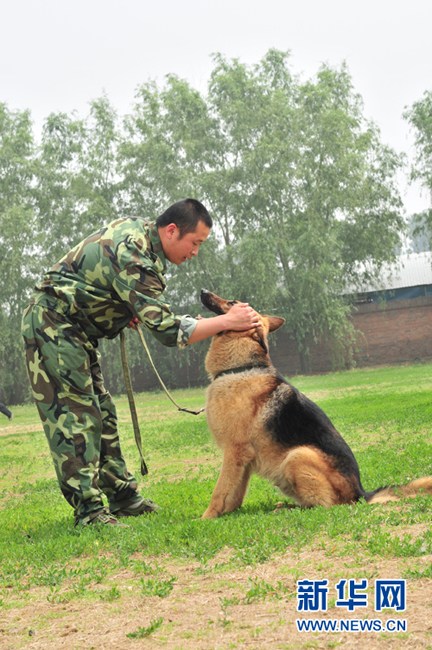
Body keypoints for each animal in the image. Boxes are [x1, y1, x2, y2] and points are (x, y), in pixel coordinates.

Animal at [200, 288, 432, 516]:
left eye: (232, 302)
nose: (203, 290)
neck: (241, 368)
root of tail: (361, 494)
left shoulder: (235, 452)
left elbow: (220, 490)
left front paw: (206, 518)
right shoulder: (244, 459)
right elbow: (235, 494)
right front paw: (227, 513)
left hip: (297, 455)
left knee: (324, 506)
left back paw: (288, 509)